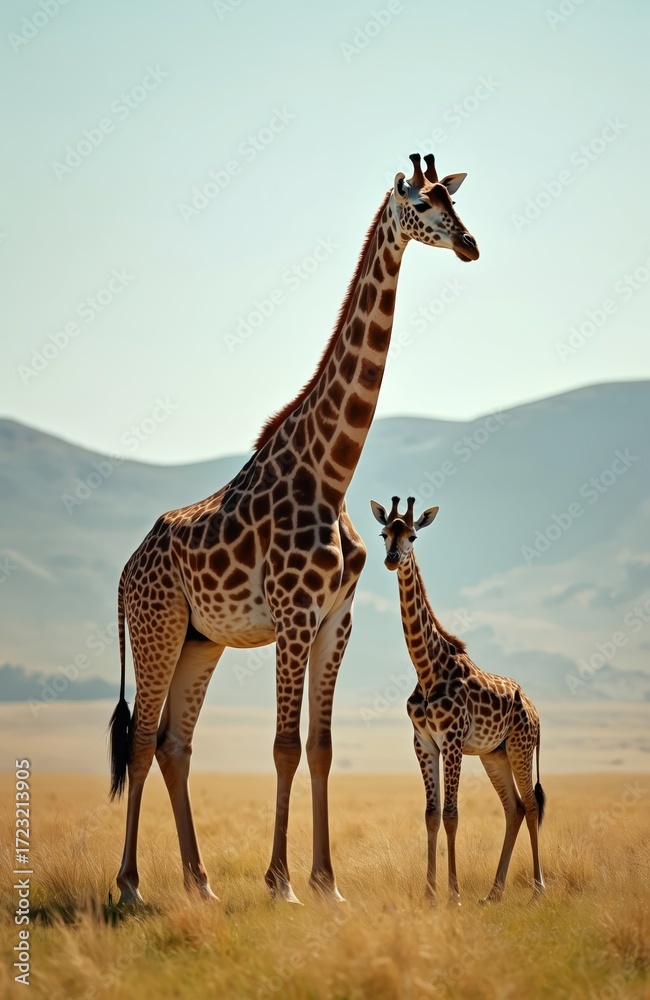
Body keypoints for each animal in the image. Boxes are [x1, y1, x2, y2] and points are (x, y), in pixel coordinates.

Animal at [109, 153, 480, 907]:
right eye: (421, 205)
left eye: (452, 200)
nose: (469, 245)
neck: (330, 472)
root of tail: (125, 570)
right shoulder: (294, 612)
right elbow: (282, 745)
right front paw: (280, 882)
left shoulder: (337, 617)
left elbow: (321, 746)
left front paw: (325, 882)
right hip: (157, 627)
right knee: (138, 740)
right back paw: (130, 887)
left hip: (200, 640)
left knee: (172, 744)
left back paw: (199, 883)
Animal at [370, 496, 545, 904]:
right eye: (384, 533)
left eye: (413, 535)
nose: (391, 559)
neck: (427, 668)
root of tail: (535, 710)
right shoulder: (423, 741)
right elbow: (431, 815)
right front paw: (430, 893)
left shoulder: (451, 740)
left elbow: (451, 814)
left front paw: (453, 893)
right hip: (494, 754)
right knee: (513, 809)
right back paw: (494, 893)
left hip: (520, 747)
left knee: (530, 806)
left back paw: (537, 889)